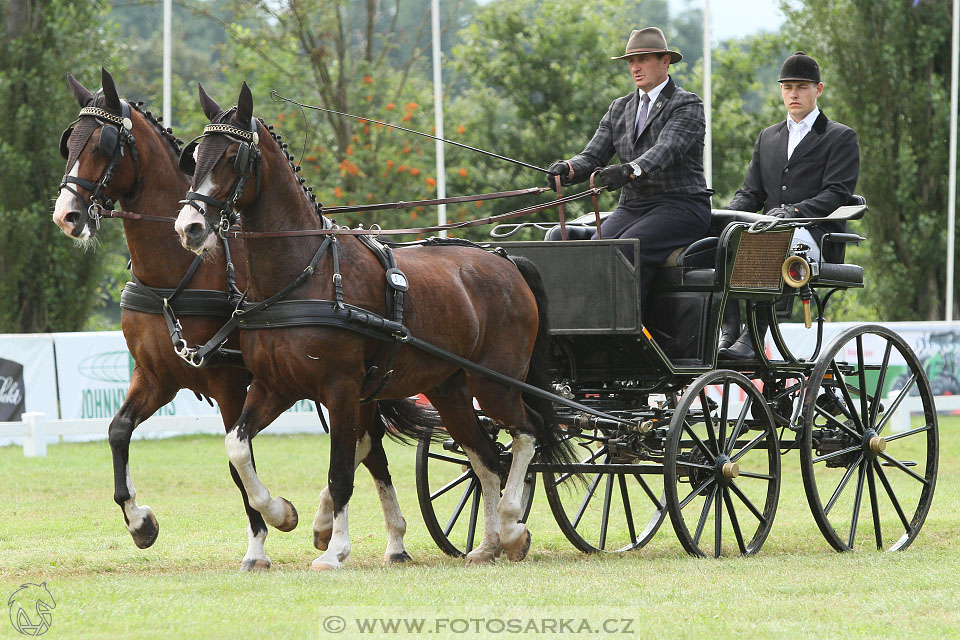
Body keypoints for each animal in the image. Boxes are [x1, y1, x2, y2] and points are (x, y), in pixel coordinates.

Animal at [51, 69, 428, 568]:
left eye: (104, 144)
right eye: (70, 142)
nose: (67, 215)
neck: (180, 274)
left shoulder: (231, 381)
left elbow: (236, 460)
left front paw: (263, 537)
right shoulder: (157, 375)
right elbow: (118, 432)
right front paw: (140, 522)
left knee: (365, 444)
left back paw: (363, 531)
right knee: (370, 447)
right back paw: (377, 537)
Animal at [173, 82, 572, 568]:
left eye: (233, 157)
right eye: (196, 156)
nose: (189, 227)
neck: (303, 275)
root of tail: (505, 260)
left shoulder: (341, 388)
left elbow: (342, 469)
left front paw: (334, 549)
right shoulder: (275, 386)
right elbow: (237, 445)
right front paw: (283, 513)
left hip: (495, 383)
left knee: (525, 434)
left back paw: (513, 526)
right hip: (451, 390)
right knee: (485, 458)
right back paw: (489, 544)